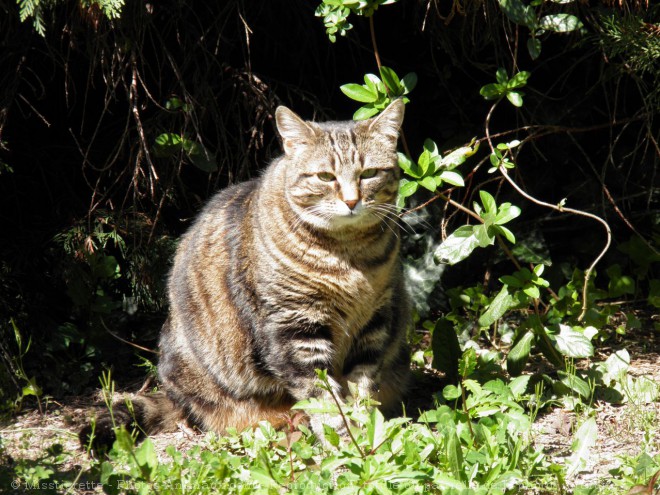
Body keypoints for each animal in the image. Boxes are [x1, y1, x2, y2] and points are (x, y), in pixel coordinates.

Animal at [80, 99, 410, 452]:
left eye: (369, 173)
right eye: (325, 176)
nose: (351, 201)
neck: (348, 257)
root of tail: (171, 393)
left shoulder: (377, 319)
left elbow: (362, 388)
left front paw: (368, 436)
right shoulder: (294, 328)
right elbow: (324, 399)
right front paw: (347, 443)